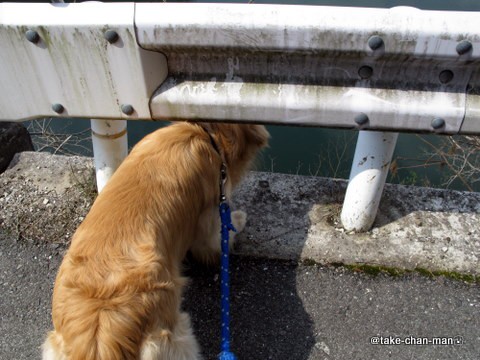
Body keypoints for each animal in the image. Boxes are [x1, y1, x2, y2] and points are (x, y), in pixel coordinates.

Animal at [42, 121, 268, 360]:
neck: (204, 133)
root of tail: (102, 339)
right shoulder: (211, 210)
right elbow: (213, 238)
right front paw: (238, 220)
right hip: (171, 337)